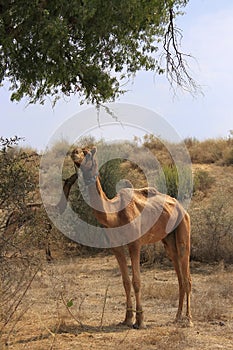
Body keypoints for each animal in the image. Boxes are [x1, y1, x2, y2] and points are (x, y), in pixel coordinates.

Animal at [71, 146, 193, 328]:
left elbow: (137, 281)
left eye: (86, 153)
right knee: (179, 275)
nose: (74, 152)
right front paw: (127, 318)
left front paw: (140, 320)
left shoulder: (135, 244)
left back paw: (189, 319)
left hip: (184, 228)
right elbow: (125, 281)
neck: (114, 214)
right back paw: (177, 317)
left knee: (187, 277)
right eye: (78, 150)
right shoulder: (116, 246)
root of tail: (181, 208)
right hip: (169, 240)